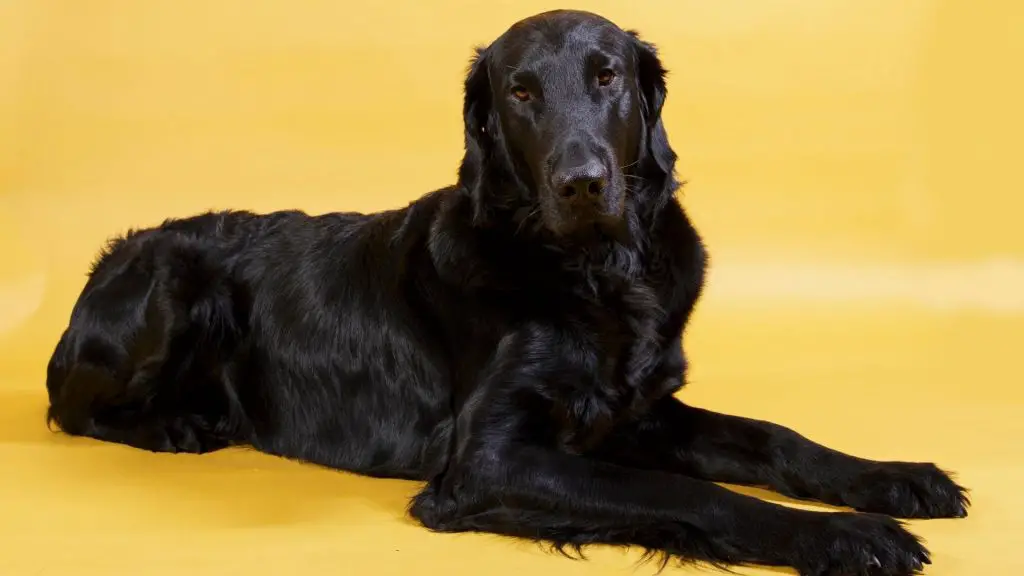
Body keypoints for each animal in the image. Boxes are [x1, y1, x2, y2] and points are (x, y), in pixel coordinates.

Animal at [44, 10, 962, 573]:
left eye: (607, 77)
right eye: (520, 92)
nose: (583, 182)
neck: (594, 272)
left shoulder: (637, 411)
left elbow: (773, 437)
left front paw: (895, 480)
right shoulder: (485, 461)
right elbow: (688, 493)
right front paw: (845, 538)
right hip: (169, 278)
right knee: (70, 408)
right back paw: (175, 426)